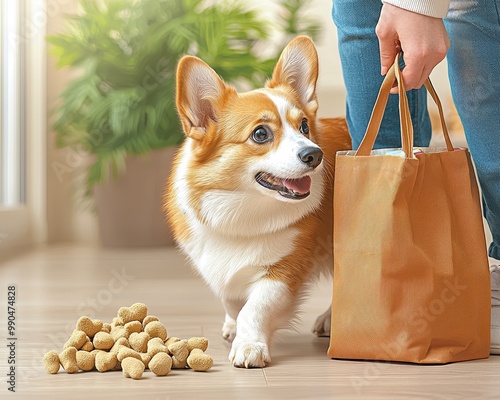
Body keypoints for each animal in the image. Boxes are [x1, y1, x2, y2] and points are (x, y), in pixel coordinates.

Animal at [166, 36, 350, 368]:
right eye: (261, 134)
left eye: (304, 126)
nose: (314, 155)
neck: (241, 210)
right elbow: (232, 299)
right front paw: (233, 326)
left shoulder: (284, 271)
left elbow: (255, 307)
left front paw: (250, 345)